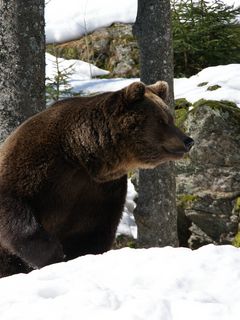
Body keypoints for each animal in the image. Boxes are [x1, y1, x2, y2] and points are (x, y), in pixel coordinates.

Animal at [0, 80, 193, 278]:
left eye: (170, 118)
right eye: (162, 120)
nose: (188, 140)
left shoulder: (99, 190)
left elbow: (93, 231)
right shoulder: (35, 162)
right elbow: (14, 208)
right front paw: (54, 254)